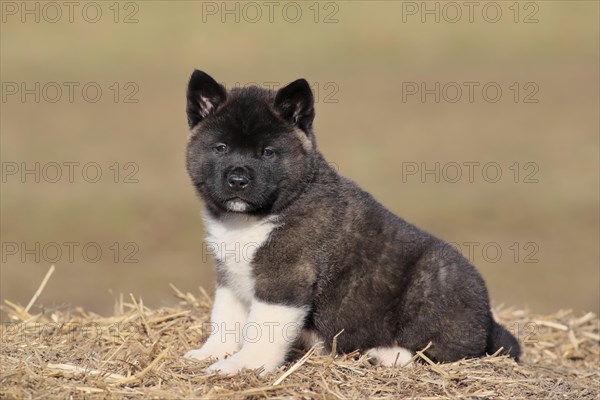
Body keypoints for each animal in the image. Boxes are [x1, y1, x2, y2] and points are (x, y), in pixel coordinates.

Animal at [184, 70, 520, 374]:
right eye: (220, 148)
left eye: (267, 152)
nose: (237, 180)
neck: (251, 219)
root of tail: (489, 322)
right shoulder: (230, 273)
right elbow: (225, 318)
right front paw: (211, 353)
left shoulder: (284, 278)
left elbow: (262, 332)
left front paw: (243, 366)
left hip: (437, 280)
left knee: (445, 351)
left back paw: (387, 355)